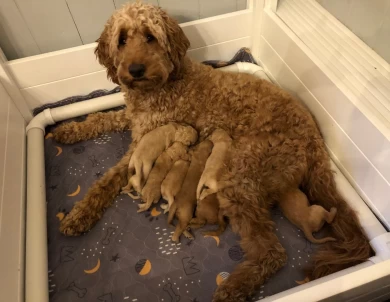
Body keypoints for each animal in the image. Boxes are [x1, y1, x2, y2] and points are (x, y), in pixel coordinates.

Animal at [52, 2, 372, 302]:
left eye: (150, 36)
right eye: (121, 40)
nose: (135, 70)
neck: (164, 83)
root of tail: (315, 140)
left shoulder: (142, 143)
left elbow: (107, 180)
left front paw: (81, 213)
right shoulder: (135, 121)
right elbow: (101, 119)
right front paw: (70, 130)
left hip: (240, 176)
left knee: (272, 252)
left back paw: (234, 287)